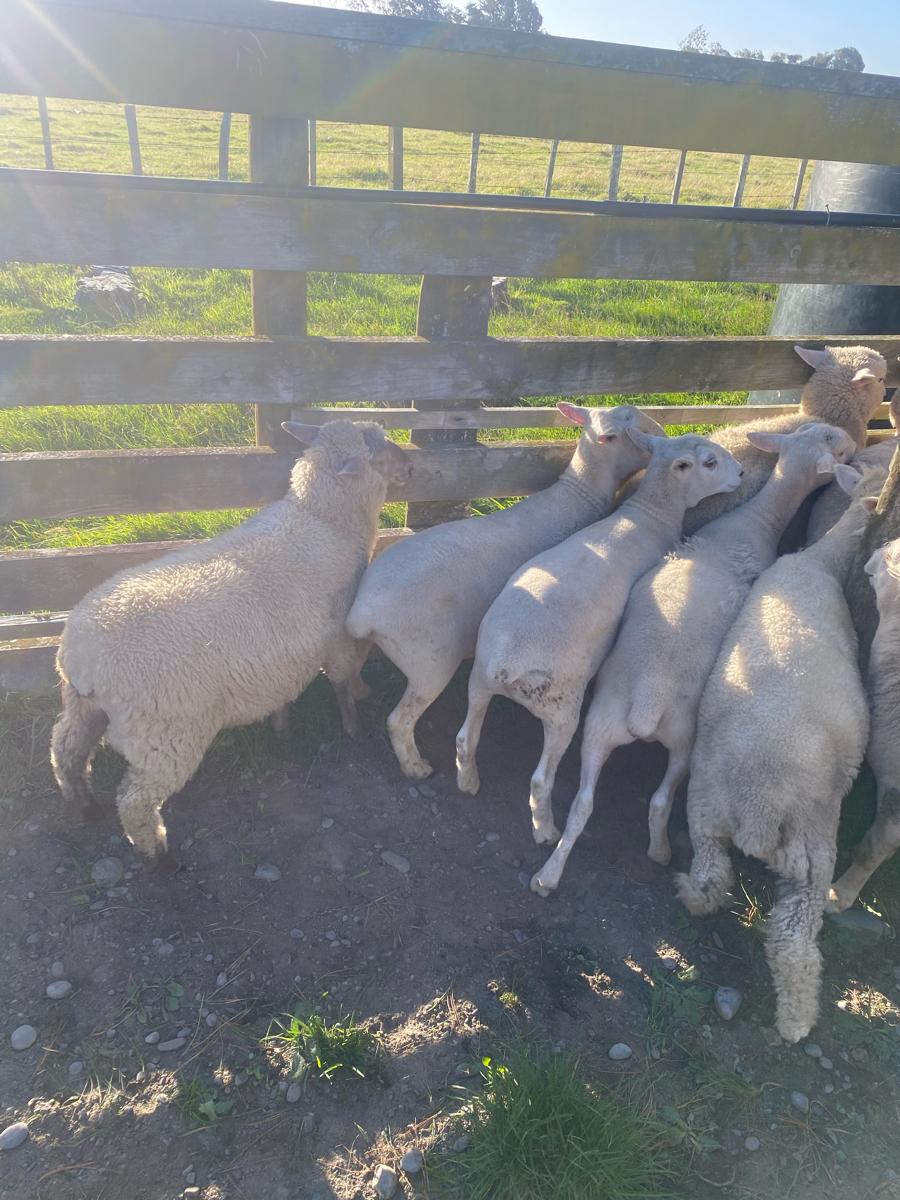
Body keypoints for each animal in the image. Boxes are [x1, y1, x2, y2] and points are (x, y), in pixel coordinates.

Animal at [50, 419, 410, 863]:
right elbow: (343, 680)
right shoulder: (337, 637)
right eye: (380, 448)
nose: (410, 465)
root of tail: (82, 657)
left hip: (82, 707)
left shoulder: (282, 657)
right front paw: (354, 720)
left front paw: (281, 723)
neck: (324, 520)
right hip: (166, 736)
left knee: (66, 752)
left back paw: (83, 806)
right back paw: (158, 855)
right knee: (136, 802)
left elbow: (285, 693)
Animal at [346, 403, 667, 780]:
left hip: (369, 646)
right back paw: (415, 766)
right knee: (399, 720)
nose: (662, 434)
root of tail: (363, 614)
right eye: (628, 425)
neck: (577, 496)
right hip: (430, 663)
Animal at [455, 429, 743, 877]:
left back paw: (468, 782)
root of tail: (509, 661)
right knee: (541, 780)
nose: (742, 474)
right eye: (710, 462)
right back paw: (546, 831)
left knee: (465, 737)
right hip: (561, 710)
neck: (648, 516)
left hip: (479, 682)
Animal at [534, 421, 855, 896]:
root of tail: (648, 700)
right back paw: (659, 853)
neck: (754, 521)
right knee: (660, 801)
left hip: (599, 726)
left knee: (583, 804)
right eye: (834, 444)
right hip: (685, 742)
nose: (741, 475)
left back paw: (549, 873)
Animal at [675, 468, 877, 1044]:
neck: (820, 561)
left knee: (711, 878)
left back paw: (691, 896)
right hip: (813, 851)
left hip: (705, 809)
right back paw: (796, 1022)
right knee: (793, 944)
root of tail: (759, 807)